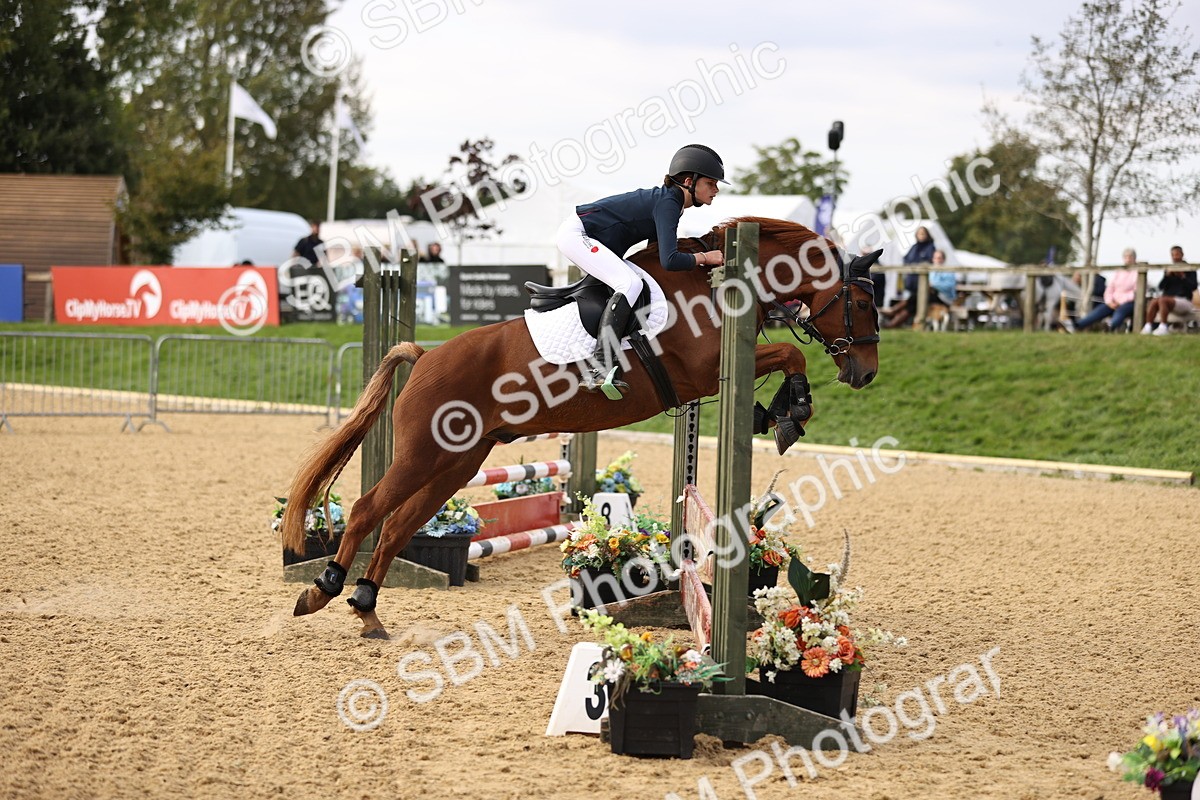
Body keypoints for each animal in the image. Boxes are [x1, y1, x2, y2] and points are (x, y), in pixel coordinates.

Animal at [283, 216, 881, 638]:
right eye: (860, 299)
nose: (865, 373)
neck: (715, 287)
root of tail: (426, 355)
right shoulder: (704, 370)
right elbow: (789, 354)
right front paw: (790, 412)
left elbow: (785, 357)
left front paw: (776, 413)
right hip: (423, 455)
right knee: (368, 511)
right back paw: (321, 592)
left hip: (458, 462)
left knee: (399, 525)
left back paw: (367, 608)